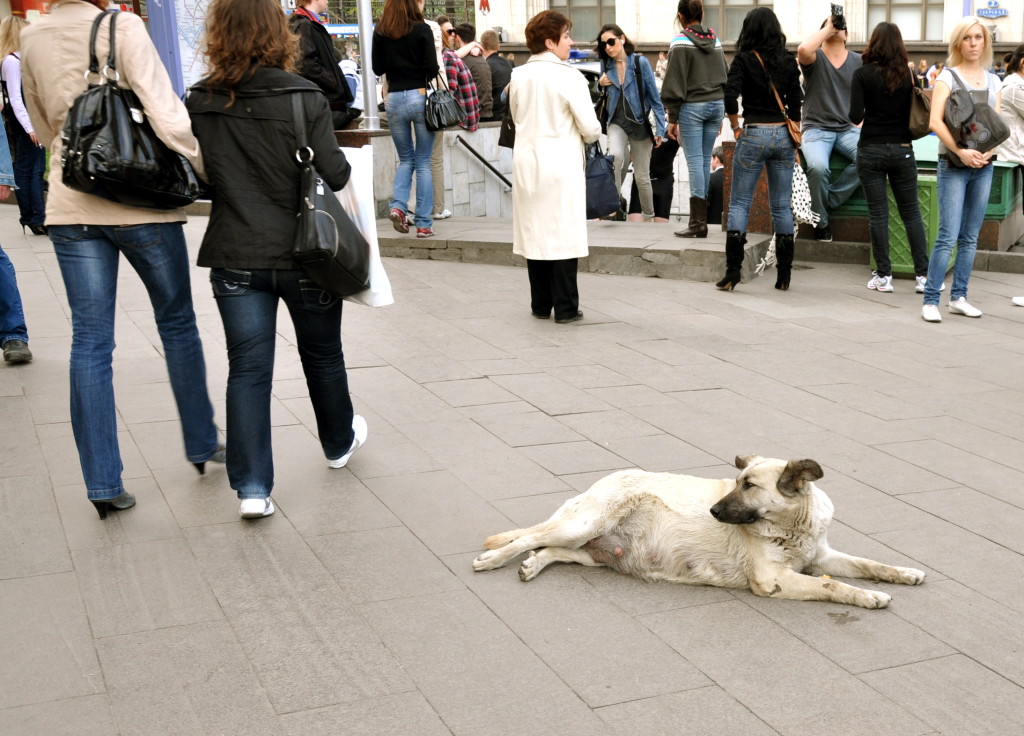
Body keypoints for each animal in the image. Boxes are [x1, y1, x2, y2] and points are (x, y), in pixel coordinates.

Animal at [475, 454, 925, 610]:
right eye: (735, 481)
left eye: (749, 485)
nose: (712, 511)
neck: (792, 525)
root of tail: (599, 482)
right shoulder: (773, 579)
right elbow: (833, 585)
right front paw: (869, 597)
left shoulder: (822, 557)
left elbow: (869, 563)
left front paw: (903, 573)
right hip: (584, 523)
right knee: (529, 538)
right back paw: (495, 558)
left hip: (593, 550)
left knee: (550, 549)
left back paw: (533, 566)